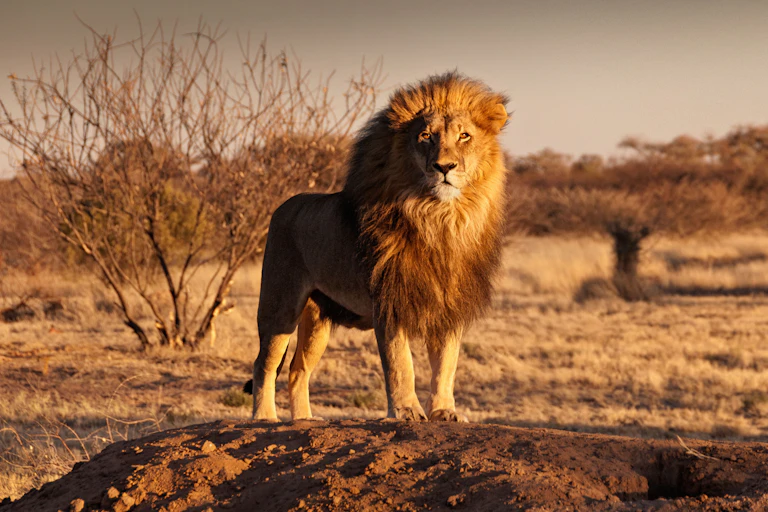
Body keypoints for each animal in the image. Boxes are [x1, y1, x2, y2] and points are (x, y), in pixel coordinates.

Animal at [247, 72, 509, 422]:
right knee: (265, 363)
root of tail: (283, 206)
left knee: (297, 369)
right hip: (280, 305)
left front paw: (444, 411)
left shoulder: (449, 305)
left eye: (464, 136)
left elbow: (446, 364)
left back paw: (304, 420)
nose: (445, 167)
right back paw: (264, 417)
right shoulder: (389, 300)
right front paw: (406, 410)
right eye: (426, 136)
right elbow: (400, 363)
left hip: (317, 319)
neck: (440, 219)